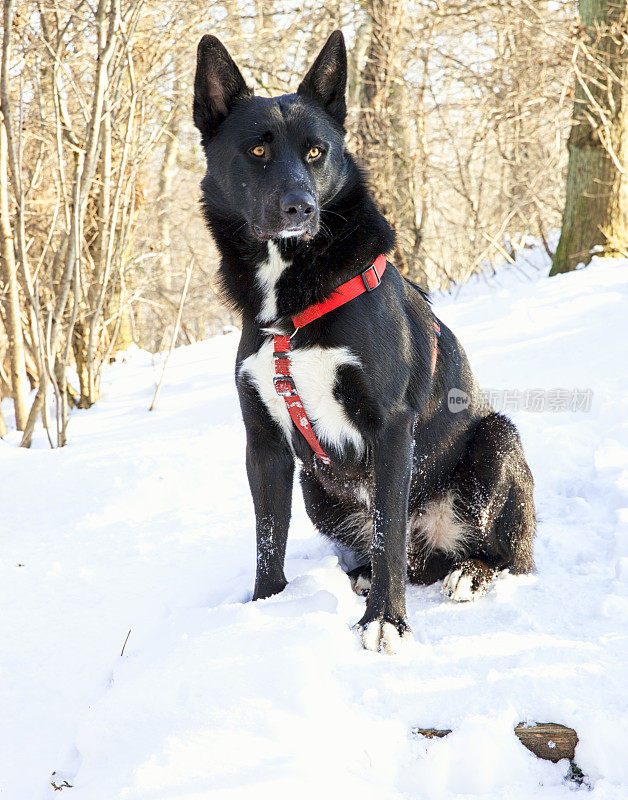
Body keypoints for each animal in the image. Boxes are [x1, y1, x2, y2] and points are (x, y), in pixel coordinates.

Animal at [193, 31, 536, 656]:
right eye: (256, 152)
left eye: (315, 152)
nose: (300, 207)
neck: (292, 308)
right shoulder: (266, 445)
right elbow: (267, 541)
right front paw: (264, 613)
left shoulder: (391, 428)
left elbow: (387, 536)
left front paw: (386, 622)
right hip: (316, 487)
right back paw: (358, 577)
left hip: (496, 442)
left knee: (504, 557)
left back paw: (468, 573)